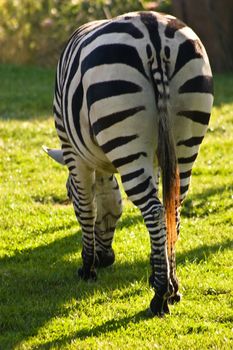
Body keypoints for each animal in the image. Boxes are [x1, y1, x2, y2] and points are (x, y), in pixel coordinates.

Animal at [44, 11, 214, 318]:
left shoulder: (73, 151)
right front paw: (154, 269)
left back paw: (160, 296)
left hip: (125, 135)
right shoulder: (156, 159)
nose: (107, 259)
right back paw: (174, 287)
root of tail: (153, 30)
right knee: (172, 207)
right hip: (186, 137)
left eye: (67, 196)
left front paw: (87, 267)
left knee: (155, 211)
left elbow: (87, 208)